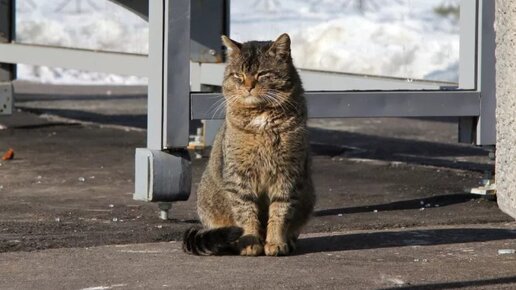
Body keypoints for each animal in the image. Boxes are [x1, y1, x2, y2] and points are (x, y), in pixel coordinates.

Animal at [183, 33, 316, 256]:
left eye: (262, 74)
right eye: (238, 75)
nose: (248, 86)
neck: (261, 117)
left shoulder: (288, 175)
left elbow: (280, 212)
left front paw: (275, 242)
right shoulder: (239, 177)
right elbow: (246, 213)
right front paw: (251, 242)